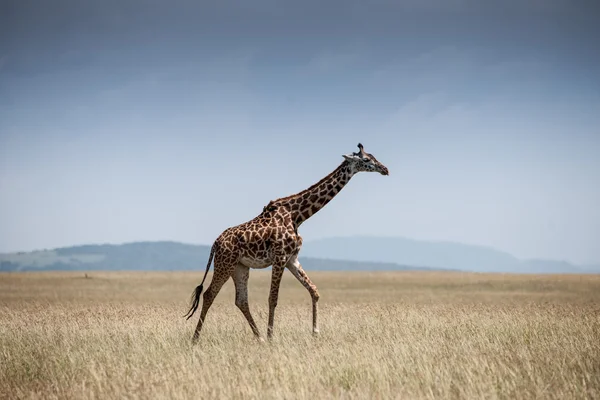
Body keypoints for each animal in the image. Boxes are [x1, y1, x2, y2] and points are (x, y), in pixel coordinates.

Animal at [183, 142, 390, 342]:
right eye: (366, 159)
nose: (385, 169)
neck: (297, 215)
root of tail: (215, 243)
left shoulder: (292, 259)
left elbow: (314, 290)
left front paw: (315, 332)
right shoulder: (280, 257)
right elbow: (273, 298)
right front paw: (271, 336)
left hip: (240, 267)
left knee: (241, 300)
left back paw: (259, 338)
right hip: (224, 263)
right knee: (209, 294)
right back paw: (196, 339)